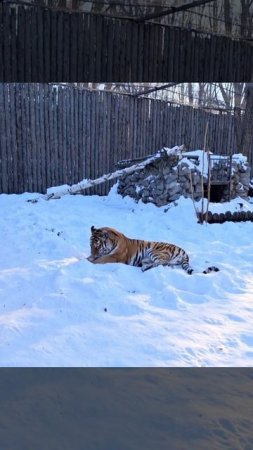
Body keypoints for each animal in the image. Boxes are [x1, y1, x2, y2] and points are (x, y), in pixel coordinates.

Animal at [87, 225, 219, 274]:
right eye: (90, 245)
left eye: (97, 245)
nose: (92, 255)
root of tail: (183, 251)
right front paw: (88, 258)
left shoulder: (114, 257)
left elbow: (100, 260)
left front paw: (87, 261)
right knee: (165, 265)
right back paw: (145, 267)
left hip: (154, 252)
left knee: (160, 263)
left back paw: (145, 268)